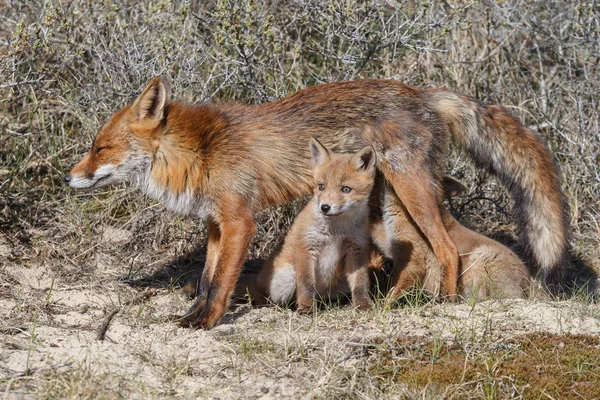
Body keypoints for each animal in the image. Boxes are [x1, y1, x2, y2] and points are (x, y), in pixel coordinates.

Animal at [255, 139, 378, 310]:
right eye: (321, 186)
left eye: (346, 189)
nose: (324, 207)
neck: (336, 231)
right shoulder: (307, 247)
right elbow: (306, 284)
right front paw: (306, 308)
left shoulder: (356, 249)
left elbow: (360, 283)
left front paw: (363, 304)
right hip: (286, 277)